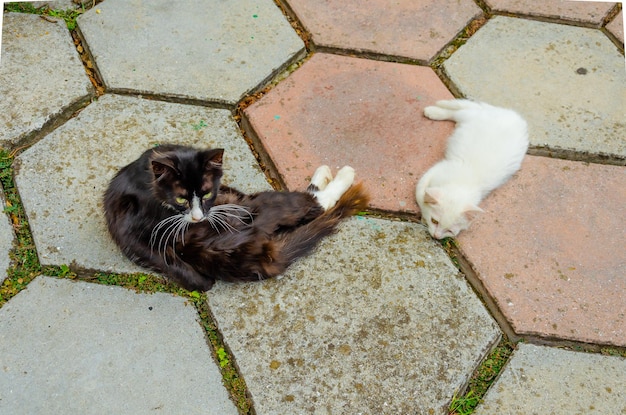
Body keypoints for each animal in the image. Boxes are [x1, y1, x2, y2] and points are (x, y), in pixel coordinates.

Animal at [101, 145, 366, 290]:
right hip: (254, 209)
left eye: (207, 192)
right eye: (181, 199)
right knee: (315, 203)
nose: (197, 217)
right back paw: (341, 175)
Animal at [414, 98, 528, 239]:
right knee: (460, 111)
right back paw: (433, 111)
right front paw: (424, 211)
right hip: (473, 117)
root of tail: (514, 117)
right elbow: (420, 193)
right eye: (434, 221)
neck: (460, 184)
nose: (436, 236)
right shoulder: (437, 169)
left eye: (449, 231)